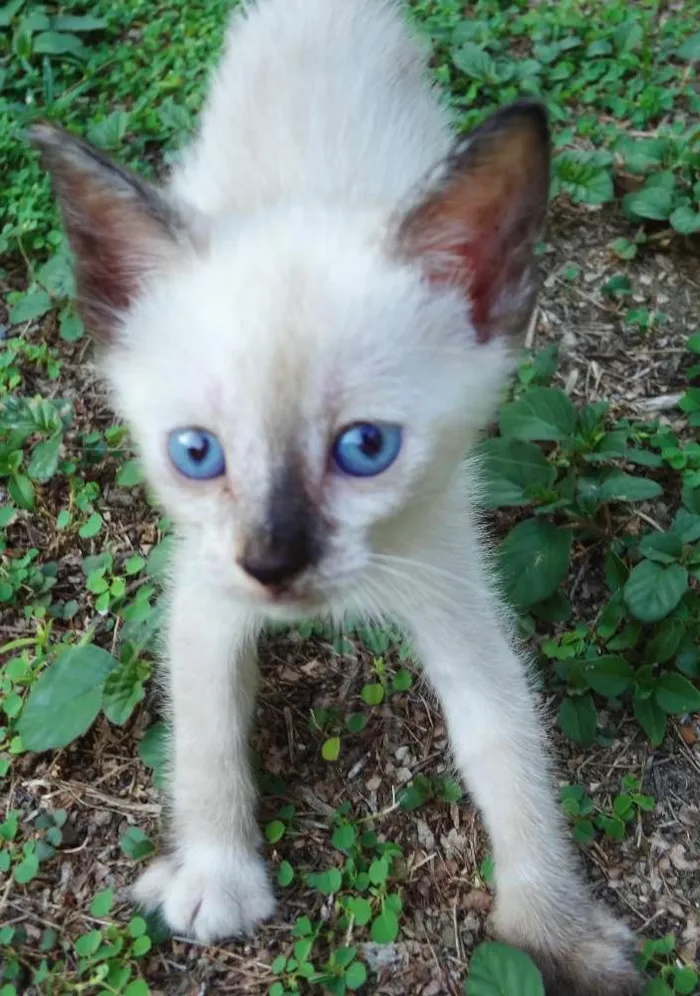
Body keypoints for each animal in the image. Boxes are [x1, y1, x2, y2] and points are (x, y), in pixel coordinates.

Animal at [32, 0, 640, 988]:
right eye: (196, 453)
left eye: (365, 448)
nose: (274, 563)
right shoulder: (206, 595)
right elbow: (206, 738)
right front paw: (218, 878)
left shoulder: (453, 593)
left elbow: (507, 748)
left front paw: (556, 930)